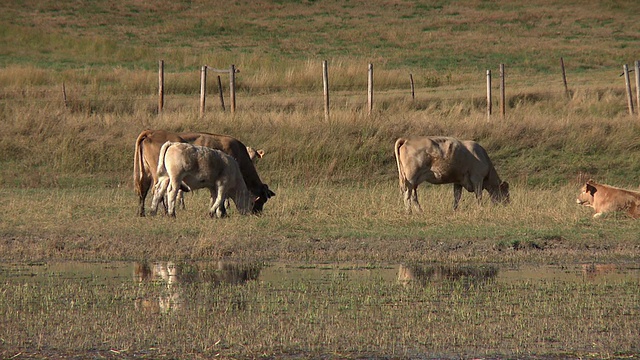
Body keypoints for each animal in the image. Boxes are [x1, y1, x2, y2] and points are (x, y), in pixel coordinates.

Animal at [132, 129, 276, 217]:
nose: (258, 214)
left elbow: (216, 197)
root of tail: (151, 132)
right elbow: (222, 197)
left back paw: (143, 213)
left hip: (149, 174)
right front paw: (222, 212)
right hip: (164, 176)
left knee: (145, 191)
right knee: (161, 192)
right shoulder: (223, 180)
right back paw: (167, 212)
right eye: (261, 201)